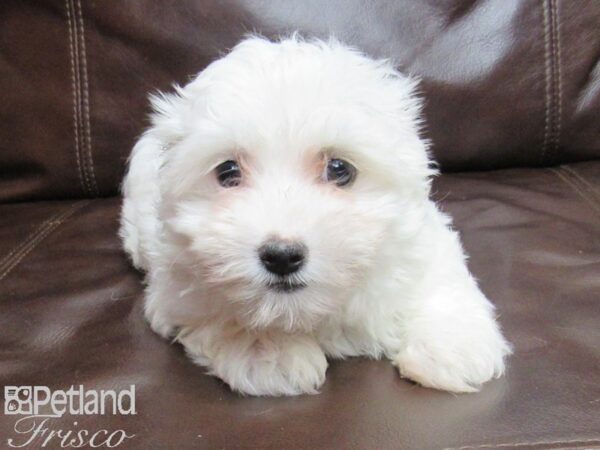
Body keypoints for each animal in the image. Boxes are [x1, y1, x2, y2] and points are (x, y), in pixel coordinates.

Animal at [120, 35, 510, 396]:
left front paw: (453, 348)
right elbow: (224, 314)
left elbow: (441, 282)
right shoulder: (177, 290)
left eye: (339, 169)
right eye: (227, 172)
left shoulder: (421, 241)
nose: (281, 256)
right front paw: (269, 352)